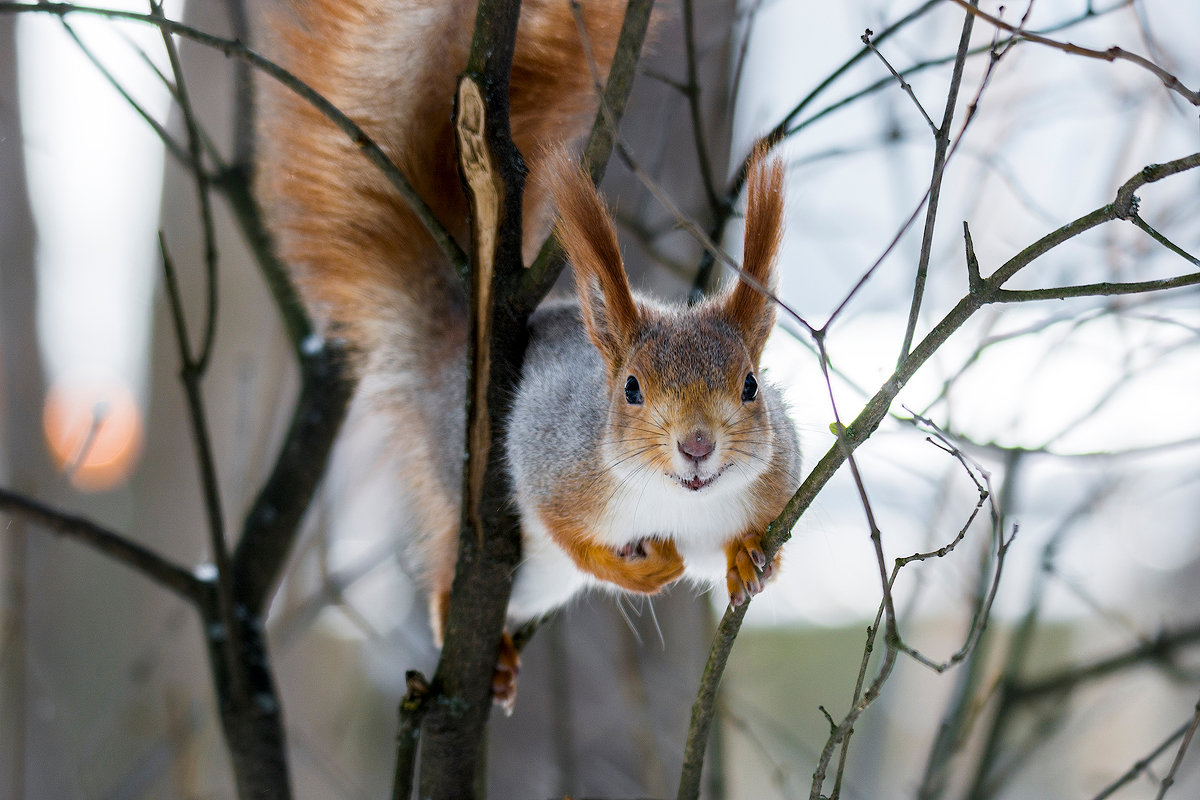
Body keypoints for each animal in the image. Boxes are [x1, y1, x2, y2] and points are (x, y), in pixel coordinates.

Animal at [255, 0, 796, 705]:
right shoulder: (552, 462)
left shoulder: (774, 483)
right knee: (450, 575)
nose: (698, 446)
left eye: (751, 385)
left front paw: (748, 557)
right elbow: (569, 533)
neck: (677, 500)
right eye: (630, 388)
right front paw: (637, 572)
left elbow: (735, 546)